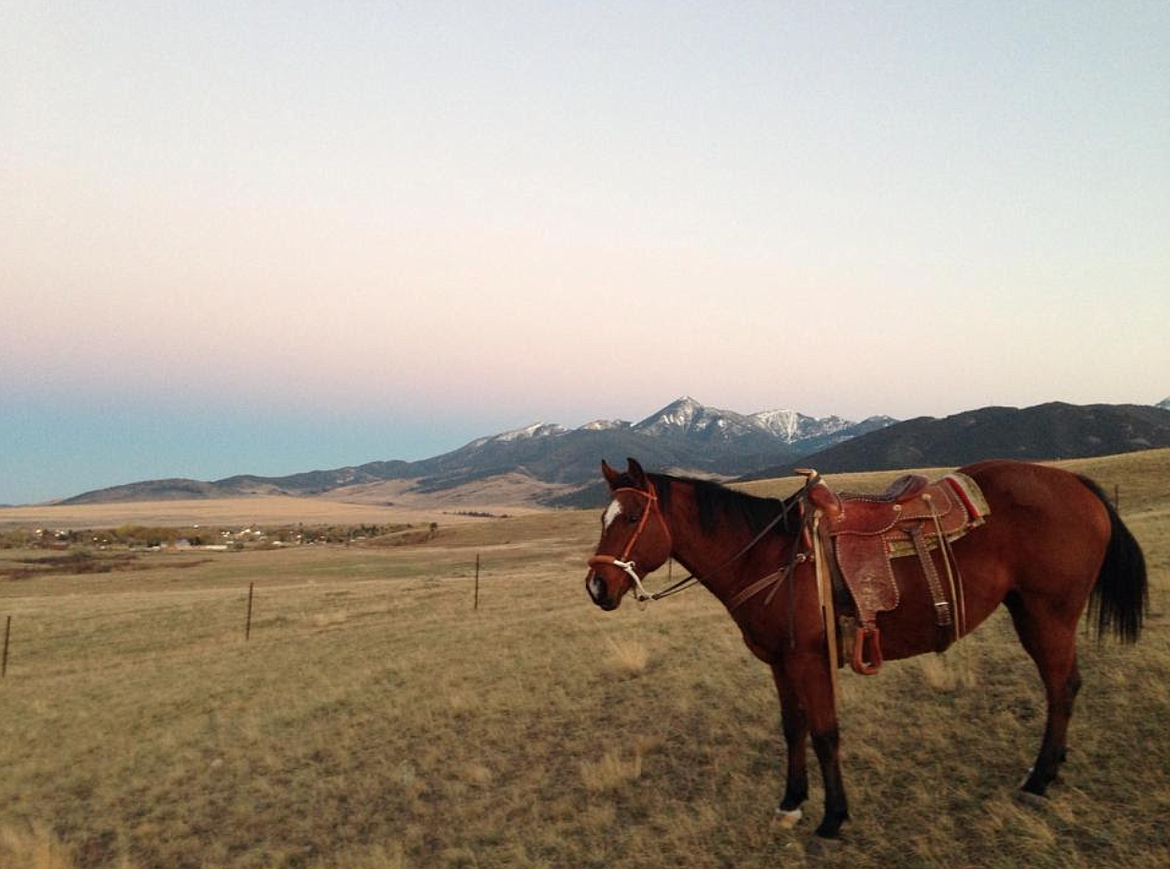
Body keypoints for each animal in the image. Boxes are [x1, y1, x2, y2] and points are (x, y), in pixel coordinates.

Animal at [580, 458, 1146, 837]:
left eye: (629, 519)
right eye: (601, 518)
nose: (597, 587)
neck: (769, 555)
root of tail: (1077, 485)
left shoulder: (810, 658)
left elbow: (825, 732)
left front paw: (833, 818)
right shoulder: (780, 661)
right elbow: (793, 727)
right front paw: (791, 801)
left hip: (1048, 615)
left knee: (1062, 687)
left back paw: (1040, 779)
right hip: (1030, 612)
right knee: (1062, 686)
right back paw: (1047, 770)